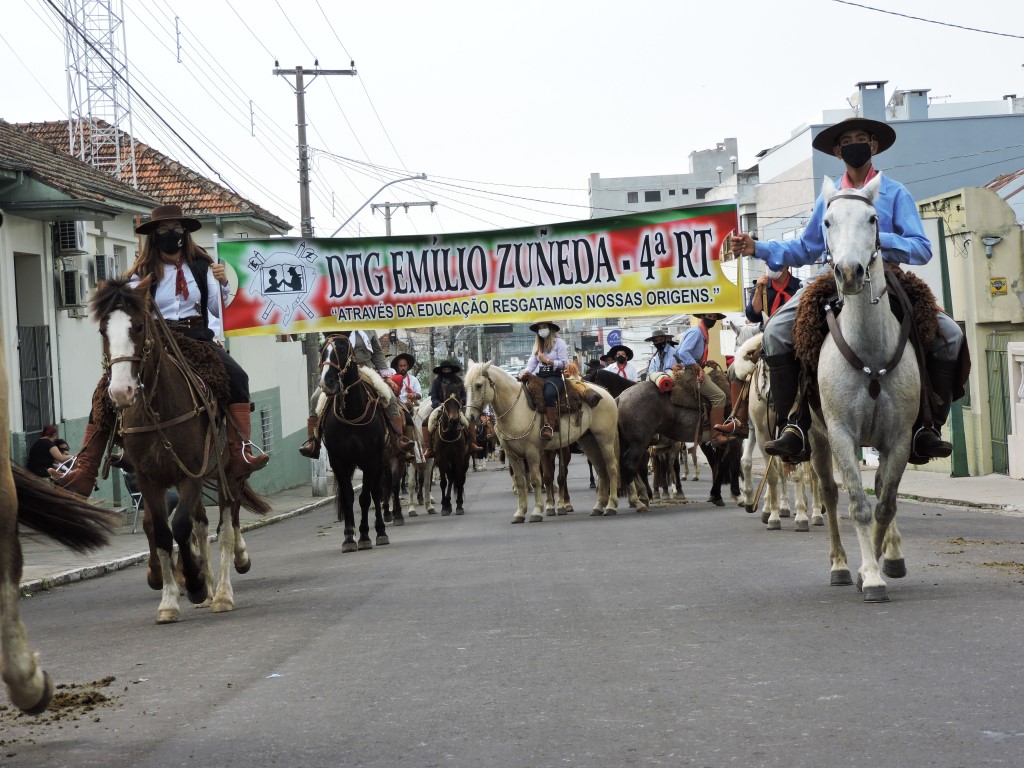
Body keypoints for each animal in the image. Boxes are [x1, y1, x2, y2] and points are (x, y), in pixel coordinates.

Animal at [94, 278, 270, 626]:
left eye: (138, 326)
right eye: (103, 330)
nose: (121, 392)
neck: (159, 409)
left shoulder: (192, 473)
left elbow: (182, 527)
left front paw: (197, 584)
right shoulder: (149, 480)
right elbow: (163, 532)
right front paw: (170, 601)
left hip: (231, 474)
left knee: (227, 528)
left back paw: (223, 591)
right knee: (202, 525)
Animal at [317, 333, 393, 548]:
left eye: (342, 350)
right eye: (322, 351)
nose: (328, 382)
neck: (352, 413)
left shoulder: (370, 459)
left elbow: (365, 498)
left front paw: (366, 535)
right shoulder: (339, 461)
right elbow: (348, 497)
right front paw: (349, 537)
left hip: (379, 461)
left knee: (376, 491)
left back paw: (381, 531)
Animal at [464, 362, 614, 524]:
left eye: (478, 385)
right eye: (465, 386)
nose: (470, 417)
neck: (516, 410)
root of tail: (605, 393)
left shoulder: (533, 453)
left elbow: (537, 480)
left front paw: (537, 511)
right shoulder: (513, 455)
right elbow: (522, 481)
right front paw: (520, 513)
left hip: (605, 440)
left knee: (611, 468)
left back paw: (611, 506)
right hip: (589, 441)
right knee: (601, 469)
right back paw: (598, 507)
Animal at [806, 177, 921, 606]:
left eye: (872, 218)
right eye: (826, 222)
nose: (850, 272)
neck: (870, 348)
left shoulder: (899, 437)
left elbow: (885, 504)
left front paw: (877, 563)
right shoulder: (841, 433)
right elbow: (857, 505)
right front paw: (867, 575)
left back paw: (891, 554)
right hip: (817, 437)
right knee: (829, 493)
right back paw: (840, 565)